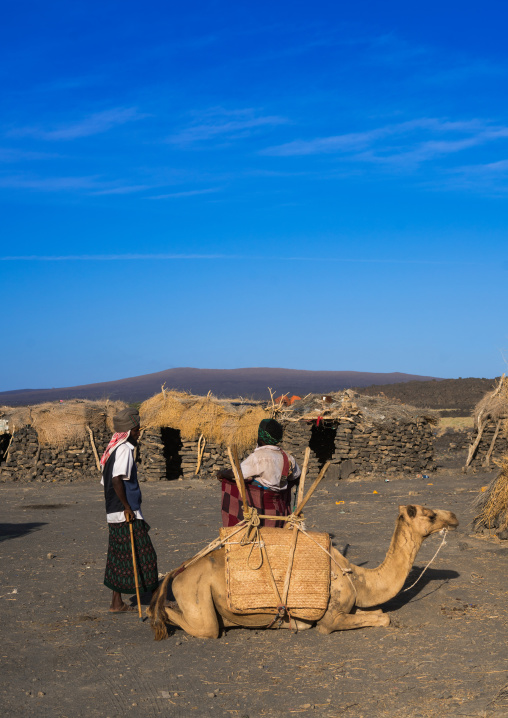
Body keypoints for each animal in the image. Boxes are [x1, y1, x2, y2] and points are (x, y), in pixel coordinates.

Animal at [149, 504, 458, 639]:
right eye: (430, 514)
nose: (454, 516)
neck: (358, 577)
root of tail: (180, 569)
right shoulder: (331, 617)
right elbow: (383, 618)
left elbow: (379, 613)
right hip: (195, 592)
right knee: (203, 627)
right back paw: (157, 618)